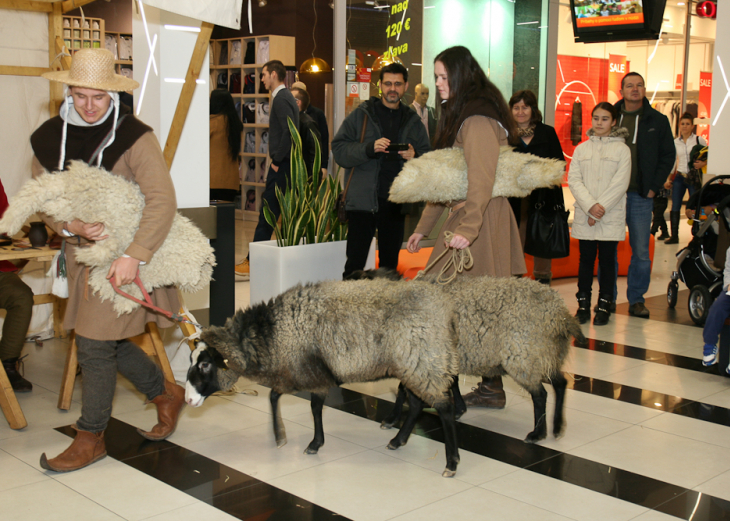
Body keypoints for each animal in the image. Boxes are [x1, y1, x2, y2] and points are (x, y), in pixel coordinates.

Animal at [186, 280, 460, 476]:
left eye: (206, 364)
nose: (187, 400)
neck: (272, 332)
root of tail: (445, 307)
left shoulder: (308, 373)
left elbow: (302, 404)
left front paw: (296, 439)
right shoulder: (297, 373)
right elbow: (285, 400)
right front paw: (295, 438)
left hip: (425, 362)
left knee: (444, 407)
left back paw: (451, 463)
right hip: (413, 366)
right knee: (415, 405)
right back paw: (398, 440)